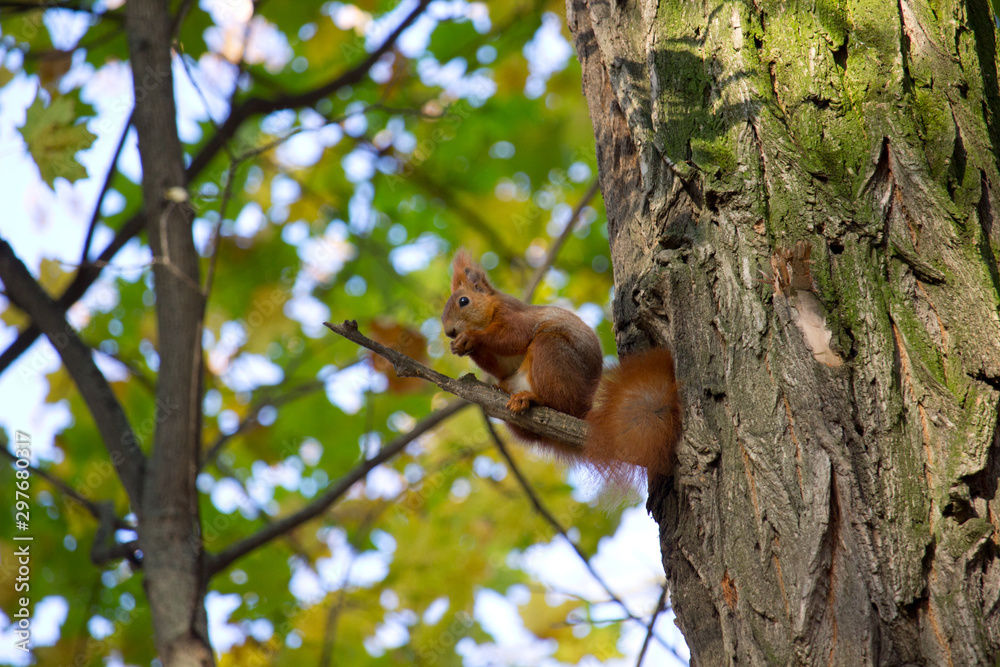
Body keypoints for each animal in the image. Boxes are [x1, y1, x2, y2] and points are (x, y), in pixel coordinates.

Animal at [440, 250, 680, 486]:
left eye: (464, 301)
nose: (449, 332)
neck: (488, 314)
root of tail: (582, 411)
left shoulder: (513, 314)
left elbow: (514, 337)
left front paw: (471, 337)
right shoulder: (503, 363)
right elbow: (501, 366)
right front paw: (459, 346)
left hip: (551, 351)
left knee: (560, 403)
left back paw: (532, 398)